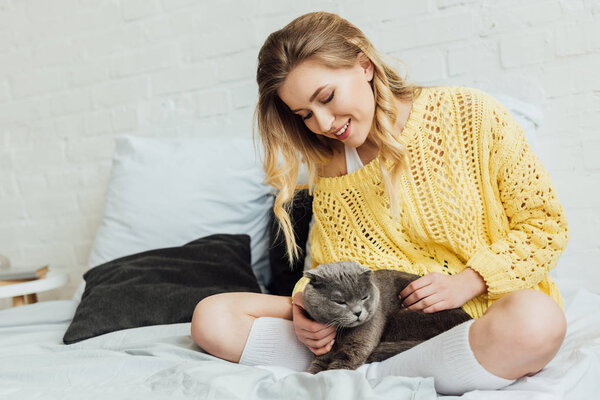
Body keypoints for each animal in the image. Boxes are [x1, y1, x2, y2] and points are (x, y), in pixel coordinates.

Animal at [302, 260, 472, 374]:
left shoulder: (359, 344)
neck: (340, 332)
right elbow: (316, 365)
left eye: (364, 297)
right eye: (340, 302)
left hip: (403, 319)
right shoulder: (324, 350)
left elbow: (341, 365)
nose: (358, 312)